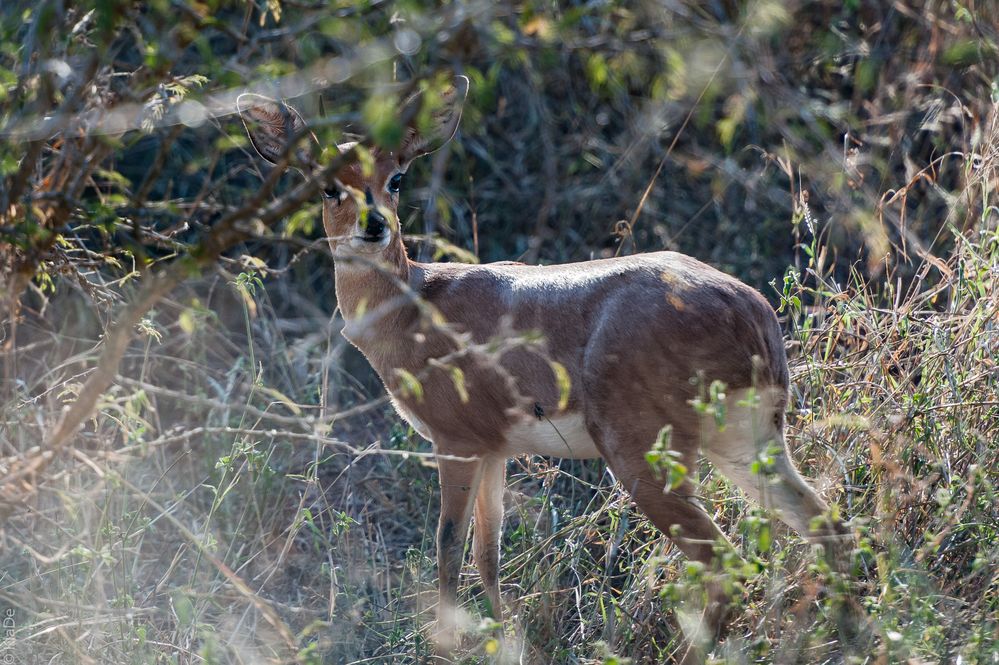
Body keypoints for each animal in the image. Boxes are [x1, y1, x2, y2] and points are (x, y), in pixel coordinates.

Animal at [236, 76, 852, 660]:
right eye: (328, 185)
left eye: (396, 179)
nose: (372, 225)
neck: (412, 305)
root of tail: (752, 312)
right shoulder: (496, 447)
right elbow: (486, 552)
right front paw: (503, 640)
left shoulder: (455, 440)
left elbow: (446, 545)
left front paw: (443, 645)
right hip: (747, 442)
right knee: (829, 528)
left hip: (642, 449)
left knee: (727, 561)